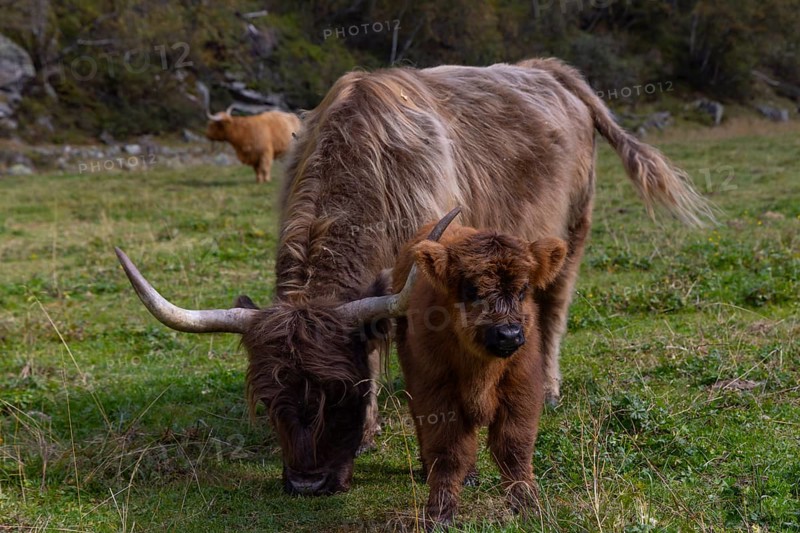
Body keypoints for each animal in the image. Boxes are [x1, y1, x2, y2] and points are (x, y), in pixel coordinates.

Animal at [393, 215, 567, 526]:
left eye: (523, 289)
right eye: (472, 290)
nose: (509, 335)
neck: (482, 372)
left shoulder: (521, 390)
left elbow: (514, 449)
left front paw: (528, 506)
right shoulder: (436, 393)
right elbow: (448, 453)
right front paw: (440, 514)